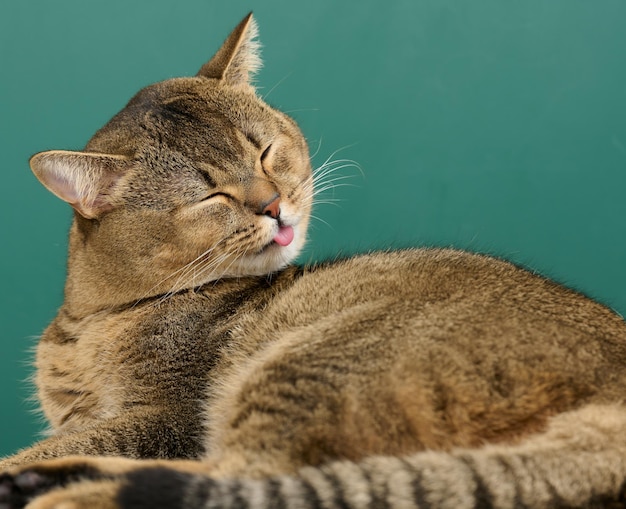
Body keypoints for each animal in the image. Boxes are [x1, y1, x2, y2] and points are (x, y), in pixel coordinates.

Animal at [1, 11, 624, 508]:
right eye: (210, 196)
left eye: (264, 152)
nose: (274, 205)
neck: (91, 318)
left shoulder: (172, 413)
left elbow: (80, 439)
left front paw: (25, 465)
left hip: (310, 359)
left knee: (242, 478)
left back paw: (60, 490)